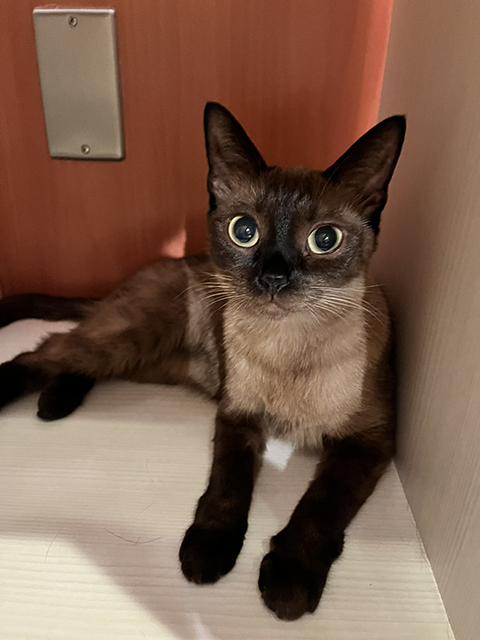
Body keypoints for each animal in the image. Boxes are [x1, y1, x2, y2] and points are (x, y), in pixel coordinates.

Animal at [0, 102, 405, 621]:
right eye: (244, 232)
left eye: (325, 239)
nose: (274, 277)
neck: (289, 347)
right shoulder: (238, 416)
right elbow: (226, 487)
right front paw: (206, 556)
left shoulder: (368, 443)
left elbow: (319, 506)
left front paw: (288, 584)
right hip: (132, 339)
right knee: (41, 351)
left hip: (142, 359)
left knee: (66, 357)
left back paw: (54, 404)